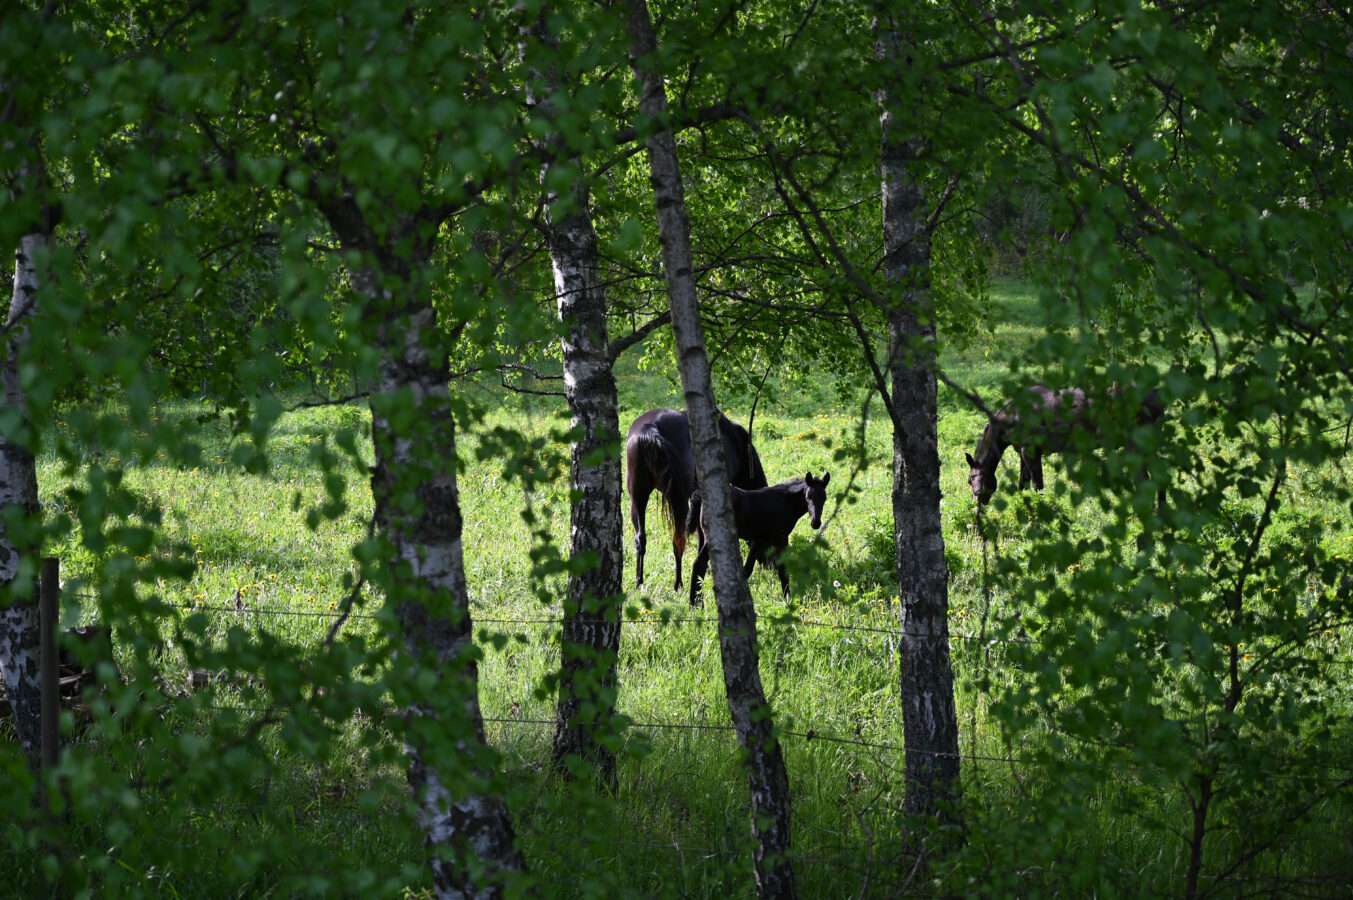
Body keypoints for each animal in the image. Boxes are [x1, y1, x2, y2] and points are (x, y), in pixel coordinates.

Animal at [619, 406, 763, 590]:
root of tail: (649, 427)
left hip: (638, 497)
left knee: (640, 539)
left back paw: (639, 582)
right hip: (677, 501)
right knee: (678, 541)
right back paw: (678, 584)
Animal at [687, 470, 833, 603]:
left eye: (824, 498)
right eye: (808, 497)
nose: (816, 523)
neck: (785, 501)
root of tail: (700, 495)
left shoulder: (760, 540)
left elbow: (747, 569)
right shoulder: (781, 538)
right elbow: (782, 572)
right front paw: (787, 599)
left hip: (702, 536)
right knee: (698, 564)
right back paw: (696, 604)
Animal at [963, 381, 1163, 506]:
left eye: (970, 479)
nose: (977, 504)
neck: (1016, 414)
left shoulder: (1031, 451)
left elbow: (1037, 485)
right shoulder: (1023, 453)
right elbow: (1022, 485)